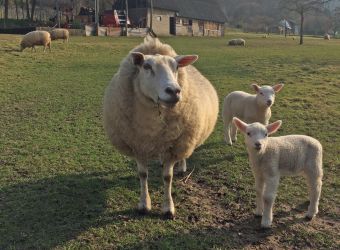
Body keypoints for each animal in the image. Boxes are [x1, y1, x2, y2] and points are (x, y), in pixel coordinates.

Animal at [102, 36, 218, 219]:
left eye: (176, 67)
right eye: (146, 66)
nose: (174, 91)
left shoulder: (174, 146)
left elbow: (167, 177)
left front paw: (168, 208)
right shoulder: (138, 146)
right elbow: (143, 175)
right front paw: (144, 204)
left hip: (185, 140)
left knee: (182, 157)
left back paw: (181, 167)